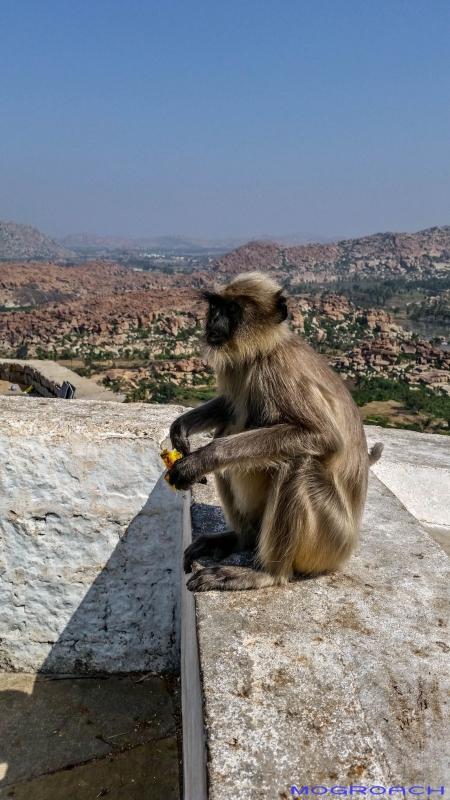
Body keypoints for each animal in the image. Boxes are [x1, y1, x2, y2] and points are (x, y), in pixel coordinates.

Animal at [169, 272, 384, 592]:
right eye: (215, 306)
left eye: (232, 309)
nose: (213, 319)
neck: (263, 350)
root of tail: (349, 544)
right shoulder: (239, 367)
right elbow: (228, 407)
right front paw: (180, 427)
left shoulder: (280, 370)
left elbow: (323, 436)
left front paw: (200, 460)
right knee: (228, 427)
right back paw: (241, 539)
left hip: (330, 541)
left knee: (298, 462)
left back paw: (267, 573)